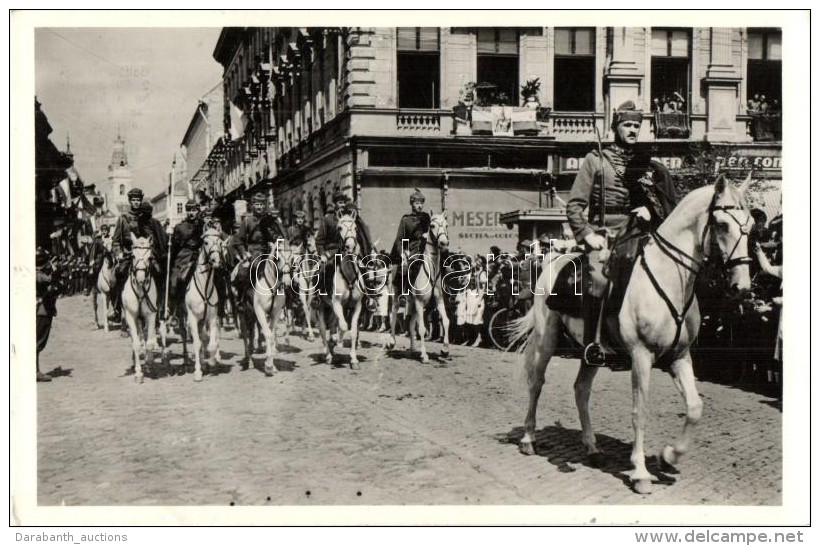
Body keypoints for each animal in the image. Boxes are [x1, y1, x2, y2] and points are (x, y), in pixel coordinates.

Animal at [121, 234, 161, 382]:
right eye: (133, 256)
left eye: (149, 257)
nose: (140, 278)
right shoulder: (130, 315)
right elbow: (136, 343)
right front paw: (138, 373)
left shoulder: (151, 315)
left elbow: (149, 342)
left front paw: (149, 365)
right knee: (135, 338)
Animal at [183, 227, 224, 380]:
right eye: (205, 242)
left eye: (220, 242)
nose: (215, 260)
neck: (204, 285)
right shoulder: (193, 318)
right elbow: (197, 343)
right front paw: (198, 372)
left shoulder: (211, 318)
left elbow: (211, 342)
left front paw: (212, 361)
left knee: (207, 338)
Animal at [388, 211, 452, 362]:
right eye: (432, 225)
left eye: (446, 225)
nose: (444, 243)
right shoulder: (419, 302)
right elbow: (422, 329)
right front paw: (424, 355)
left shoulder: (438, 301)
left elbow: (446, 322)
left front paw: (444, 350)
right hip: (398, 297)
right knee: (393, 315)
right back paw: (392, 342)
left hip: (413, 303)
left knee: (411, 324)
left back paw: (413, 349)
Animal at [510, 176, 752, 490]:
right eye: (722, 224)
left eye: (751, 226)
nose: (742, 287)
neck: (669, 276)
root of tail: (553, 260)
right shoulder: (641, 355)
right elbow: (641, 410)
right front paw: (640, 472)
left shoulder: (679, 356)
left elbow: (695, 407)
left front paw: (668, 456)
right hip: (546, 340)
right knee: (536, 382)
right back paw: (529, 438)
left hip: (591, 353)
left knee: (581, 389)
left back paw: (592, 448)